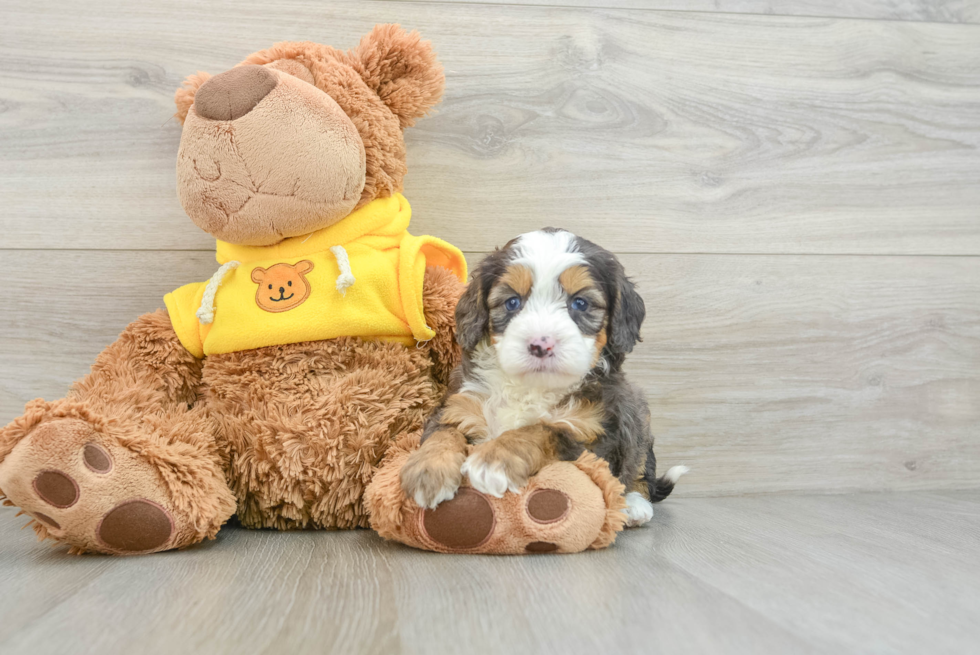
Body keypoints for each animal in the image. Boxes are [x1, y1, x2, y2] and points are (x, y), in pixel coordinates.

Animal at [402, 231, 684, 528]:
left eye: (580, 303)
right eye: (512, 302)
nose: (540, 345)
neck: (530, 386)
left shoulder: (598, 436)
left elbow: (543, 430)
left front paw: (494, 460)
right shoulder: (458, 405)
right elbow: (443, 433)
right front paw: (428, 470)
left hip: (639, 418)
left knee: (640, 469)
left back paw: (634, 505)